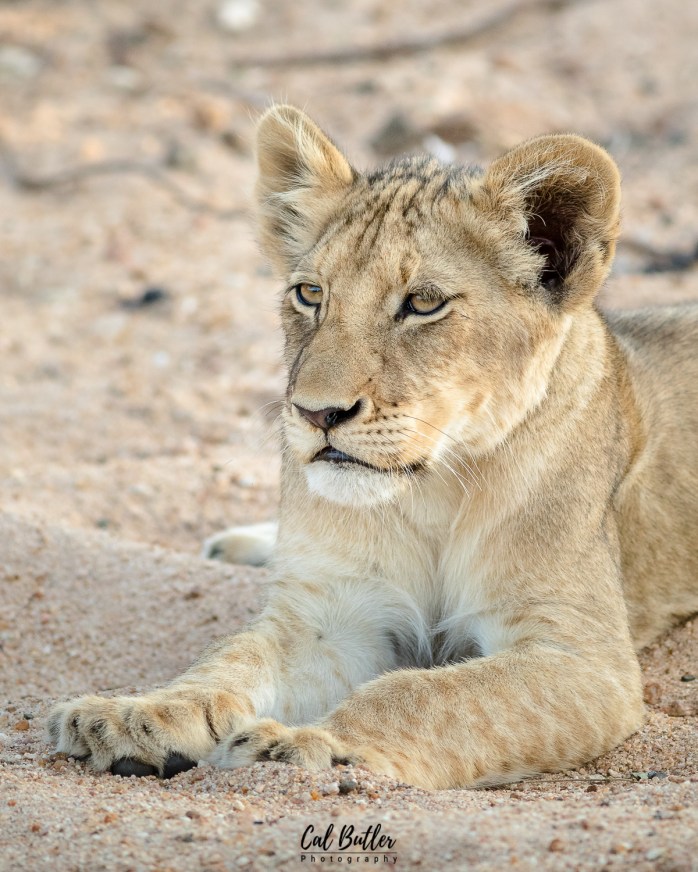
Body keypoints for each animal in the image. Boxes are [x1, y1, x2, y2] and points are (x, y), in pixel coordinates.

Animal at [49, 105, 698, 789]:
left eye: (424, 303)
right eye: (310, 294)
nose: (317, 413)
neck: (435, 489)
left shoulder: (580, 656)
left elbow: (425, 696)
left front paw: (307, 744)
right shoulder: (333, 616)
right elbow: (229, 661)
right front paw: (133, 715)